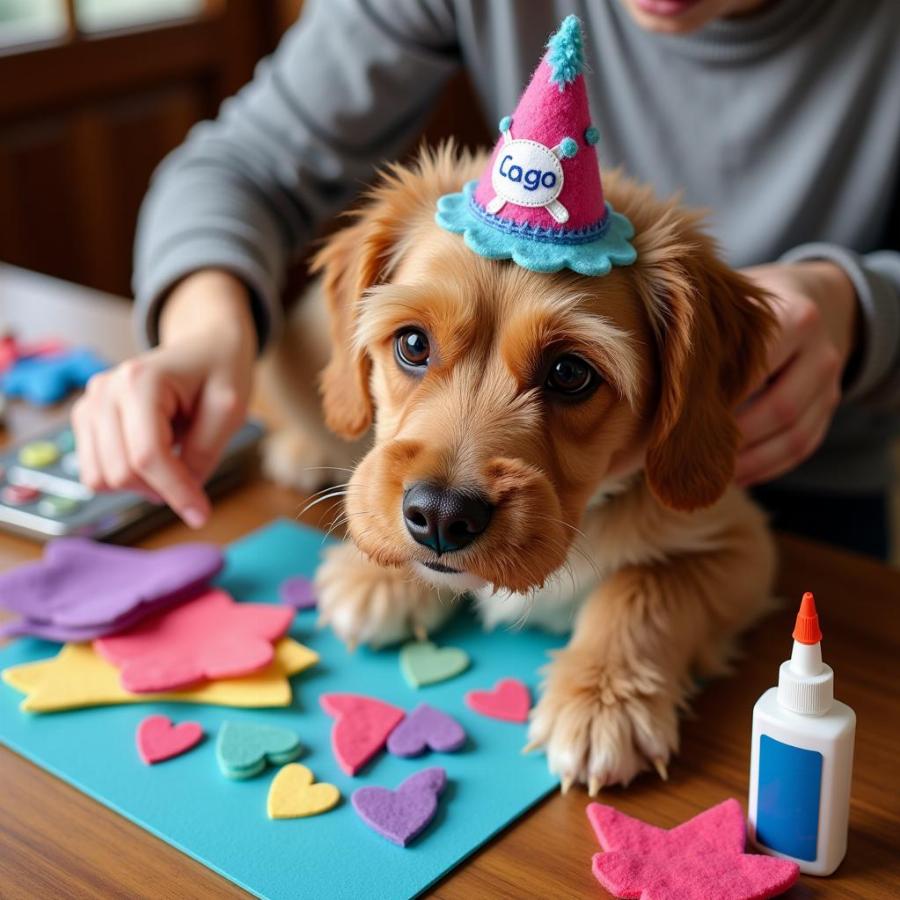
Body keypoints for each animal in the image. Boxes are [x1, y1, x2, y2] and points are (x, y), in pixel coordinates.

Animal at [258, 142, 772, 796]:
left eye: (570, 373)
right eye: (413, 344)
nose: (440, 517)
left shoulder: (742, 544)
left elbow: (646, 587)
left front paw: (601, 700)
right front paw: (374, 575)